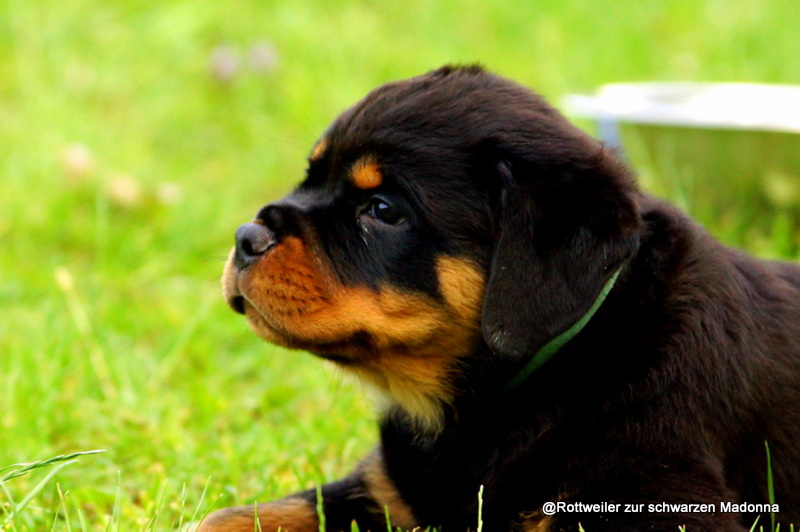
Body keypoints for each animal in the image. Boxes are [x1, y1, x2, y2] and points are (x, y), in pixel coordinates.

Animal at [205, 65, 800, 531]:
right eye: (310, 177)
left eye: (382, 210)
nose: (246, 238)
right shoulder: (383, 489)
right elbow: (233, 517)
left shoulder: (658, 504)